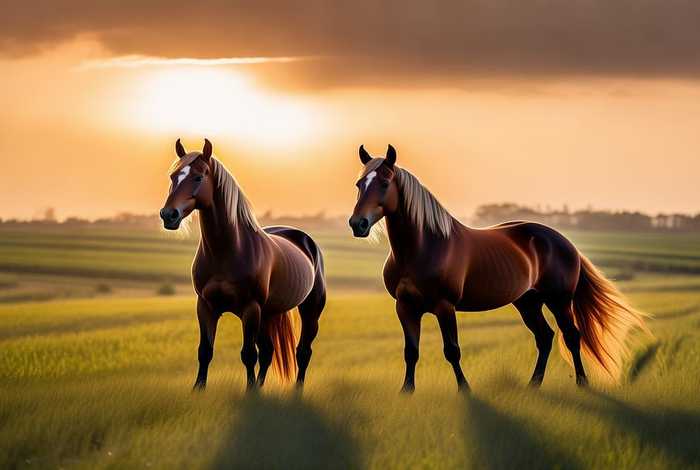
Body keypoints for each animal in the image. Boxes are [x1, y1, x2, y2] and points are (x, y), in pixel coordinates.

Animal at [160, 139, 326, 390]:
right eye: (173, 176)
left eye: (198, 177)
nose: (168, 215)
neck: (227, 252)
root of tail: (305, 241)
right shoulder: (205, 306)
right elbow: (205, 351)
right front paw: (199, 389)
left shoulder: (250, 309)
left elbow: (248, 354)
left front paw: (249, 391)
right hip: (268, 314)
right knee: (268, 351)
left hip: (309, 312)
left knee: (303, 352)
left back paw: (296, 391)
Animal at [349, 144, 648, 392]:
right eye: (359, 184)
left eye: (384, 182)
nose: (357, 224)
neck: (423, 247)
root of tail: (565, 242)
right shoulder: (405, 307)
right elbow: (411, 351)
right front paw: (407, 392)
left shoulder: (445, 306)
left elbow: (452, 350)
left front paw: (465, 390)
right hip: (528, 302)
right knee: (545, 337)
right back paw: (533, 385)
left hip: (559, 300)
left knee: (572, 336)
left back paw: (582, 384)